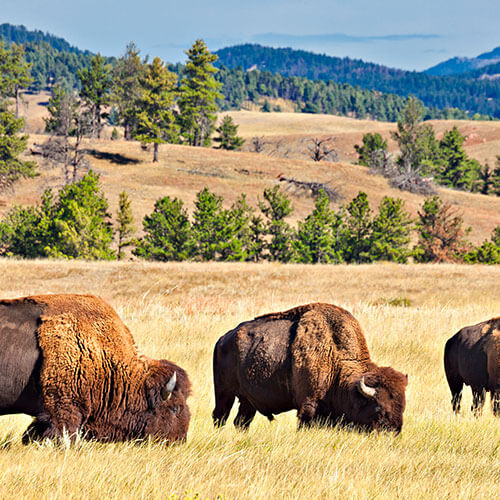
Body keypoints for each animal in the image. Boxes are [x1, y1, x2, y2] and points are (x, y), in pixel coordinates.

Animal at [213, 300, 408, 434]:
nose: (394, 432)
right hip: (224, 393)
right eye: (379, 408)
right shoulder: (307, 405)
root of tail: (223, 339)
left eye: (402, 407)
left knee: (241, 421)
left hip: (248, 400)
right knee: (220, 416)